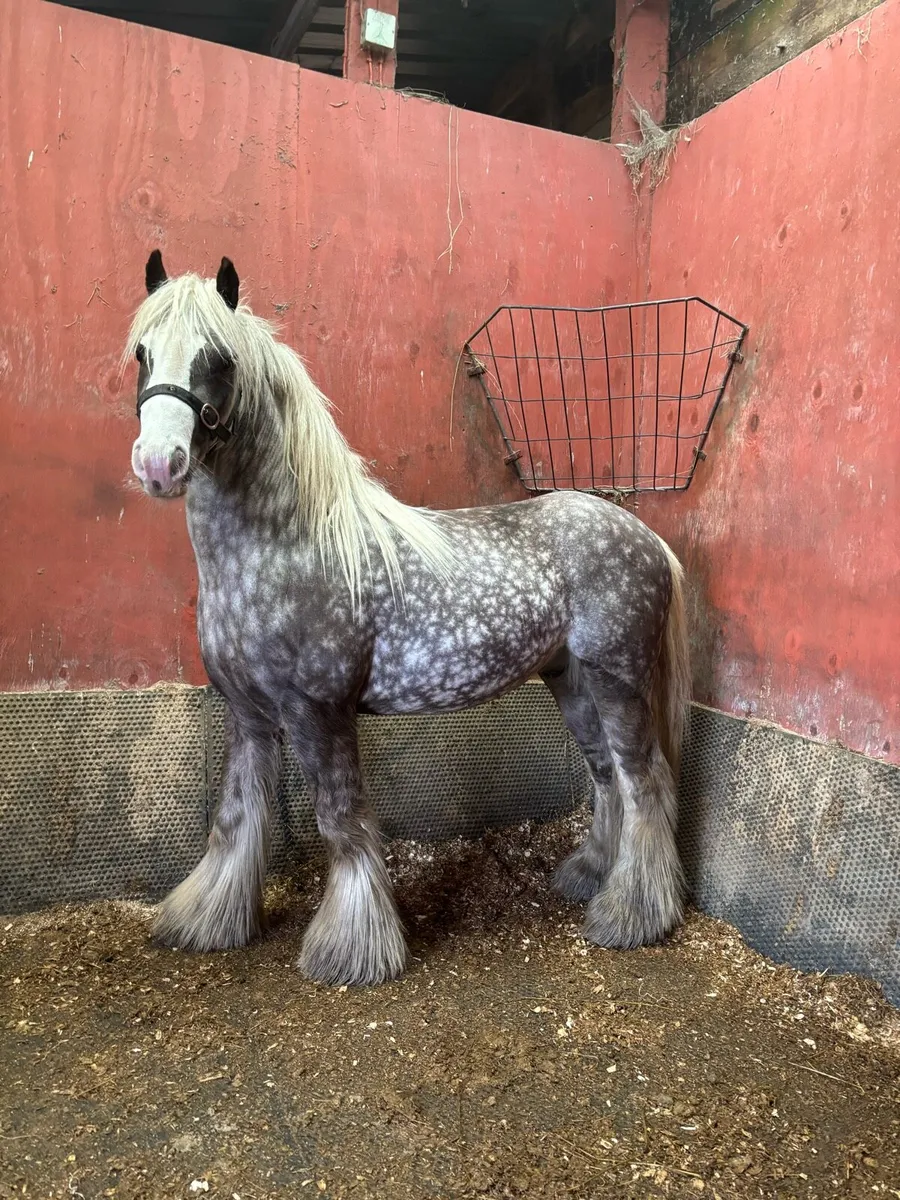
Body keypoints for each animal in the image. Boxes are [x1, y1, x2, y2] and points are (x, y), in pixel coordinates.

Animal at [125, 250, 691, 987]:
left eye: (217, 359)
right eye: (142, 352)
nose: (158, 464)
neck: (288, 544)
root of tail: (644, 537)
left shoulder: (318, 711)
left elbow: (342, 824)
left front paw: (351, 950)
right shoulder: (246, 713)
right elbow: (234, 821)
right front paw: (207, 922)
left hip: (618, 679)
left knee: (644, 780)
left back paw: (631, 916)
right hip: (570, 680)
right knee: (606, 775)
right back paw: (591, 877)